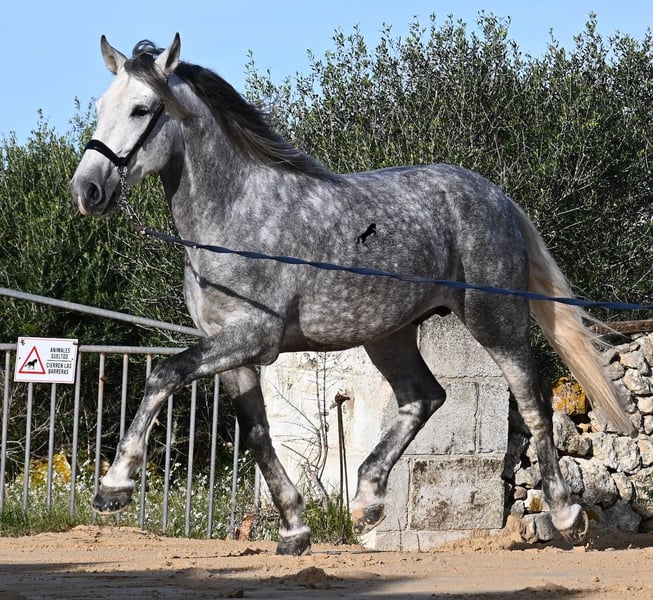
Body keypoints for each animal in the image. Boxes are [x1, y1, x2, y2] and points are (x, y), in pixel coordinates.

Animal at [70, 34, 633, 555]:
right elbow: (258, 435)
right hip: (389, 335)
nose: (87, 190)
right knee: (424, 396)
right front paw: (294, 530)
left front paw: (114, 486)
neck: (236, 217)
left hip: (494, 318)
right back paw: (366, 501)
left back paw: (565, 514)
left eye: (142, 108)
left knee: (532, 404)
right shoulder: (231, 351)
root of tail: (496, 197)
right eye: (100, 106)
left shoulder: (254, 337)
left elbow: (163, 374)